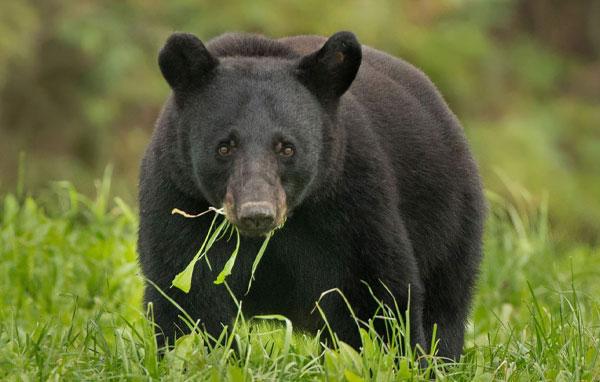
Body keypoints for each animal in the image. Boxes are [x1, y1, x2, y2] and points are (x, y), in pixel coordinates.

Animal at [138, 30, 486, 362]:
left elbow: (374, 294)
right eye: (224, 147)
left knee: (445, 306)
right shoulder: (178, 197)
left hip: (449, 220)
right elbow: (188, 296)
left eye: (286, 148)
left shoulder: (351, 200)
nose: (257, 214)